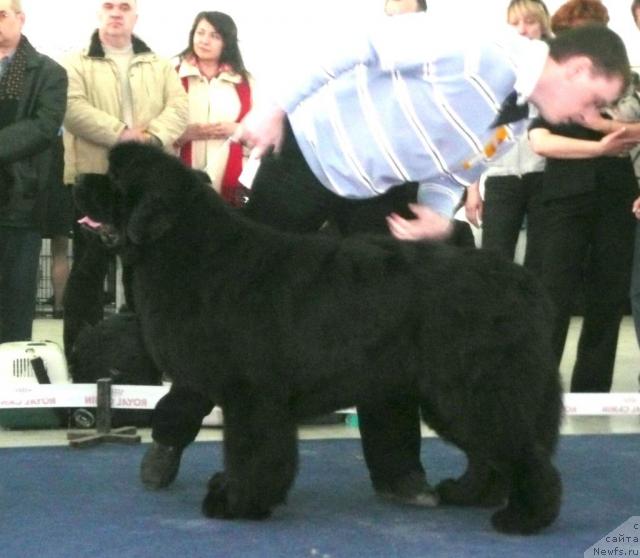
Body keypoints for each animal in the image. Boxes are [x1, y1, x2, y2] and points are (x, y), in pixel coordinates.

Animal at [75, 144, 564, 540]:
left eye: (114, 178)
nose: (78, 180)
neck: (192, 250)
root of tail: (523, 282)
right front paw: (231, 490)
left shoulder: (251, 394)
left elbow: (251, 451)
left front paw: (236, 502)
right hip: (454, 395)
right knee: (490, 452)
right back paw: (469, 493)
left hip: (474, 388)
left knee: (522, 451)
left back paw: (525, 517)